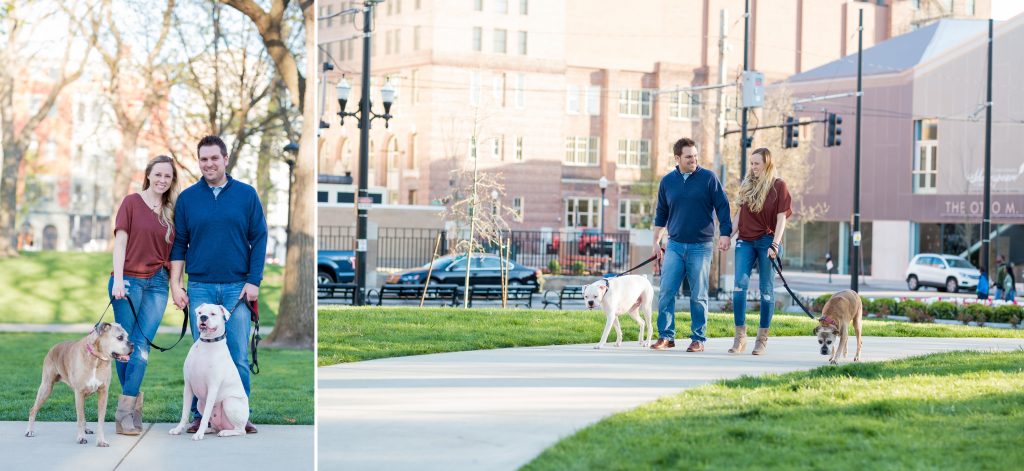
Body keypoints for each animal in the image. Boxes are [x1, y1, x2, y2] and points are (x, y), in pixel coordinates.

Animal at [168, 303, 248, 440]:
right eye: (200, 313)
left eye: (213, 314)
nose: (203, 317)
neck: (207, 344)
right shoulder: (188, 386)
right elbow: (185, 413)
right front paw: (178, 429)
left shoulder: (213, 387)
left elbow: (205, 417)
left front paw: (199, 434)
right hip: (201, 403)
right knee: (215, 426)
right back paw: (209, 430)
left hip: (230, 402)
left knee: (240, 430)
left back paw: (225, 432)